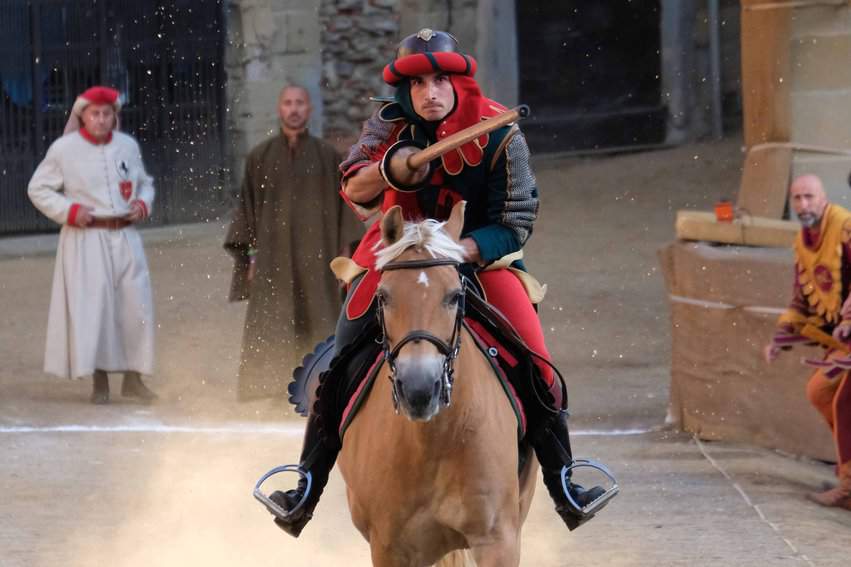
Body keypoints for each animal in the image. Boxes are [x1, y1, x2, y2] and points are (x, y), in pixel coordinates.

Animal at [334, 201, 540, 567]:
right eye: (382, 296)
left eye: (455, 296)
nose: (419, 388)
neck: (432, 440)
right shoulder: (389, 547)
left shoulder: (498, 538)